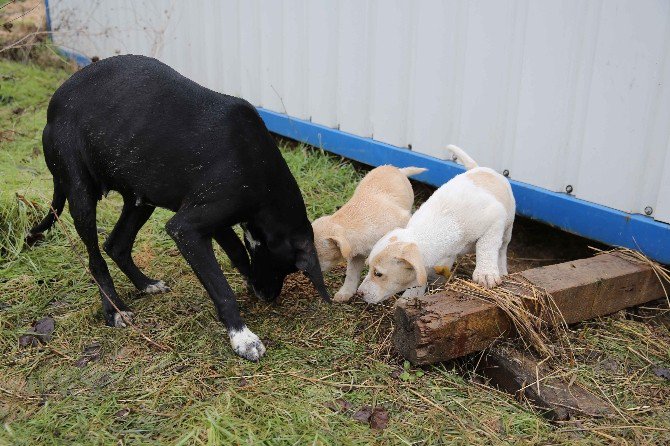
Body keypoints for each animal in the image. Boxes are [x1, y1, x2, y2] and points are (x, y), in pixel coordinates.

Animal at [31, 55, 330, 362]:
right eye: (288, 267)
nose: (268, 296)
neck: (260, 170)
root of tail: (53, 106)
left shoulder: (213, 220)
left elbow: (237, 252)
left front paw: (247, 282)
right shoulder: (186, 229)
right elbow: (222, 289)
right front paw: (241, 336)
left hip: (141, 197)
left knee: (117, 245)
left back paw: (145, 284)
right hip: (81, 195)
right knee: (95, 260)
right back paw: (114, 310)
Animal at [360, 145, 516, 304]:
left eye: (378, 273)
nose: (359, 293)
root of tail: (478, 168)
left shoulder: (494, 220)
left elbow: (486, 247)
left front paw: (485, 273)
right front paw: (411, 297)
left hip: (507, 228)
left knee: (501, 249)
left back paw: (501, 270)